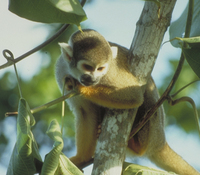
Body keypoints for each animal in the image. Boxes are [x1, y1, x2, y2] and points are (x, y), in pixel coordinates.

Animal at [55, 29, 200, 174]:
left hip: (154, 130)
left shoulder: (110, 72)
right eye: (87, 67)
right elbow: (85, 112)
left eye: (100, 68)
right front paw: (81, 159)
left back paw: (136, 145)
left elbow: (134, 95)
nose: (93, 79)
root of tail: (161, 143)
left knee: (147, 94)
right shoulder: (61, 69)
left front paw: (81, 88)